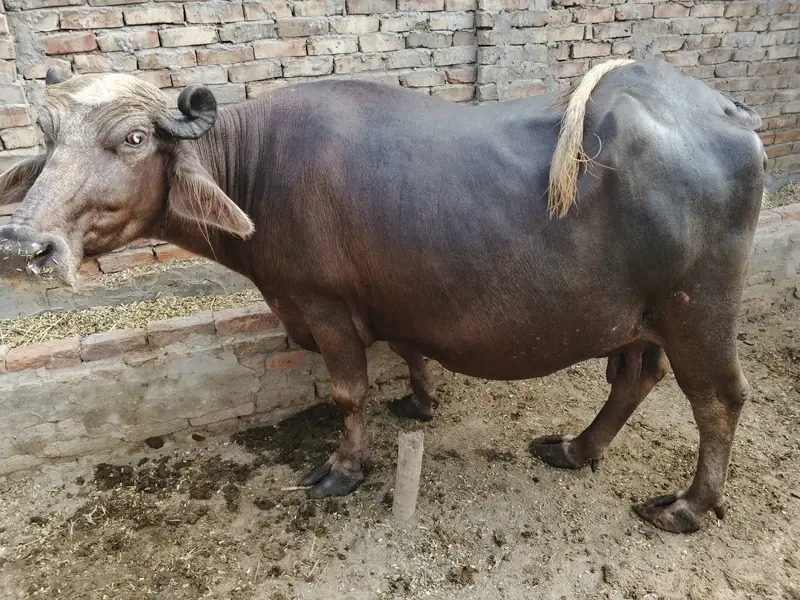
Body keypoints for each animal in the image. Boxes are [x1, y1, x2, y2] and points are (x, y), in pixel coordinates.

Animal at [0, 58, 766, 533]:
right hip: (641, 318)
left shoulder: (325, 307)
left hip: (699, 311)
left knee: (718, 400)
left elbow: (348, 393)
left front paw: (342, 471)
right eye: (49, 137)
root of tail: (728, 112)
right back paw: (577, 449)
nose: (27, 244)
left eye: (133, 138)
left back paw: (688, 507)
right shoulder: (396, 299)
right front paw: (421, 403)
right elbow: (409, 351)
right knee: (636, 377)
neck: (257, 172)